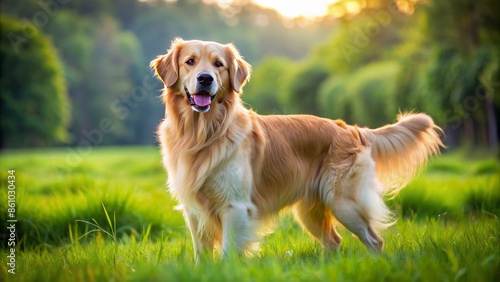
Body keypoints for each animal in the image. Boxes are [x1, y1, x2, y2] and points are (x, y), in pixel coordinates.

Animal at [150, 38, 444, 262]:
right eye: (190, 61)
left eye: (218, 64)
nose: (205, 78)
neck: (202, 135)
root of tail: (350, 128)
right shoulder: (193, 209)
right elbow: (201, 254)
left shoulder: (235, 206)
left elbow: (227, 252)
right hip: (311, 212)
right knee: (334, 240)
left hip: (344, 203)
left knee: (374, 240)